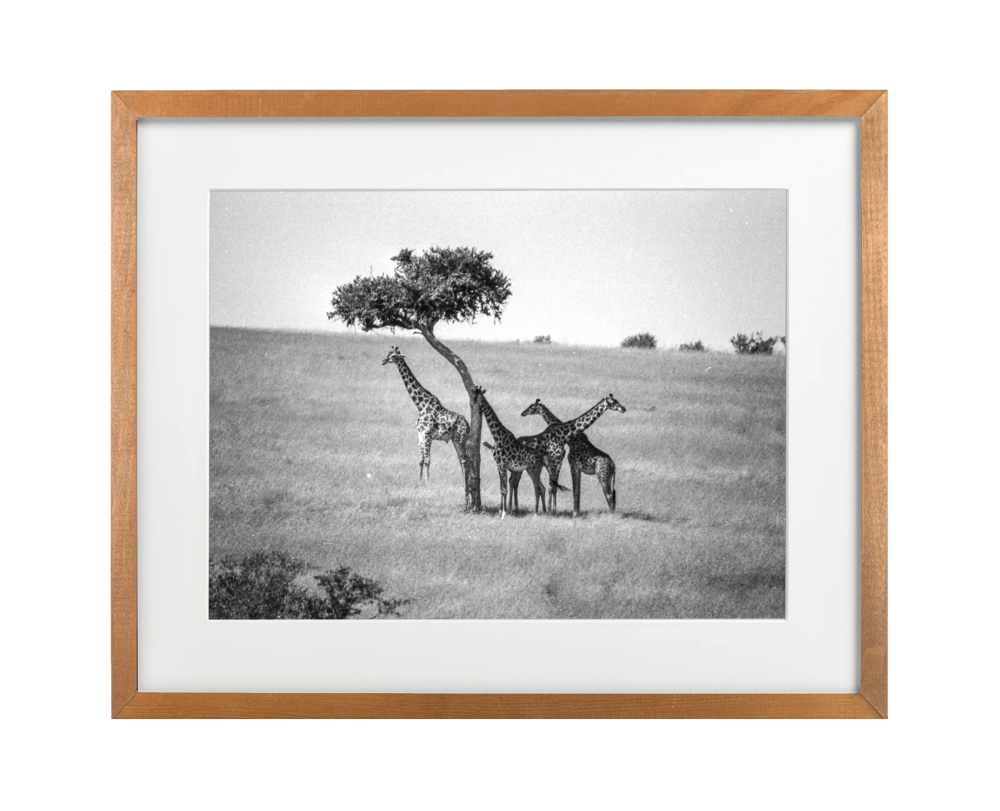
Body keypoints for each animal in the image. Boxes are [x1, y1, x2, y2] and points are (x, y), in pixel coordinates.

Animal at [381, 346, 470, 488]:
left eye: (394, 356)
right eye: (388, 354)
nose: (383, 361)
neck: (420, 404)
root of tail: (468, 424)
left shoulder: (427, 434)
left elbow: (428, 460)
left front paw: (428, 483)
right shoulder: (420, 434)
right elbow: (420, 460)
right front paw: (419, 481)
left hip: (460, 438)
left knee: (464, 460)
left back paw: (465, 484)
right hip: (455, 439)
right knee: (462, 460)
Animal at [472, 386, 547, 518]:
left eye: (479, 396)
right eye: (475, 395)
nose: (474, 403)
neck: (498, 437)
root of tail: (541, 458)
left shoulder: (503, 465)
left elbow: (505, 490)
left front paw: (504, 513)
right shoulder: (499, 466)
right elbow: (501, 489)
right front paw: (500, 511)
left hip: (535, 470)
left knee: (537, 488)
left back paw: (536, 513)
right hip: (530, 470)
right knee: (540, 488)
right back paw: (541, 511)